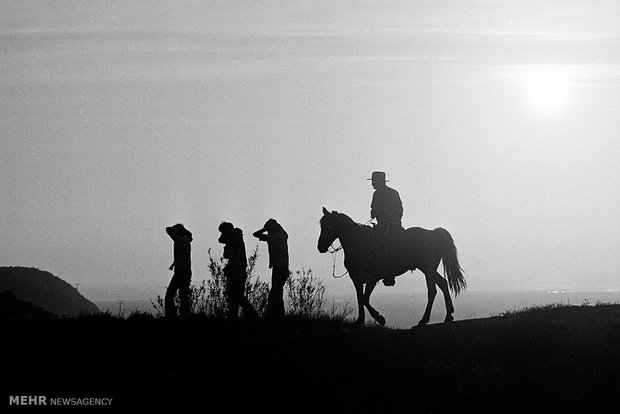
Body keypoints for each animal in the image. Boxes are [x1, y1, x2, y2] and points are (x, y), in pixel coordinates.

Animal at [320, 209, 464, 328]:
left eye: (329, 225)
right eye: (321, 225)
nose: (320, 246)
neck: (358, 242)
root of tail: (433, 232)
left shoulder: (372, 278)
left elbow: (365, 299)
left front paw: (380, 318)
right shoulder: (356, 279)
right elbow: (360, 298)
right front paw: (360, 321)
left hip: (427, 269)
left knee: (438, 286)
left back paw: (439, 317)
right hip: (428, 270)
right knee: (437, 287)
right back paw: (436, 317)